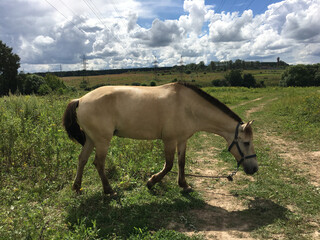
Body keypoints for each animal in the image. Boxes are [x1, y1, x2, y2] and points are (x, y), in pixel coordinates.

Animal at [62, 82, 258, 195]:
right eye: (246, 143)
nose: (254, 169)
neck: (189, 107)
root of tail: (80, 99)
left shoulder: (182, 139)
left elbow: (181, 162)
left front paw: (184, 185)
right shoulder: (169, 140)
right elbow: (169, 164)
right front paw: (151, 182)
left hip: (91, 139)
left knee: (82, 160)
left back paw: (77, 187)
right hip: (102, 140)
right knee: (98, 163)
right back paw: (108, 190)